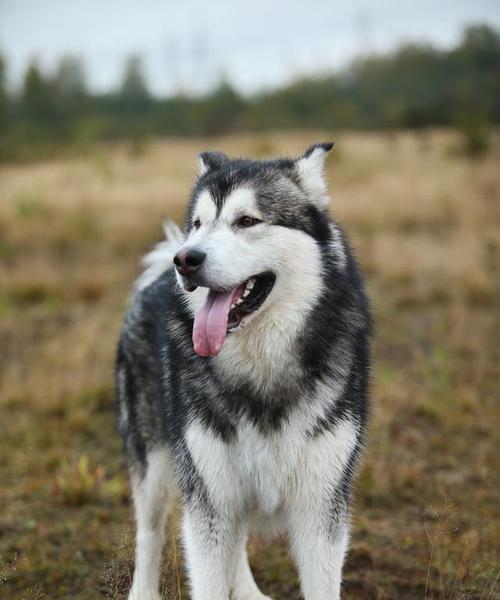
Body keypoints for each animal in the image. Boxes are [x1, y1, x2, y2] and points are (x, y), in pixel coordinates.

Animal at [115, 143, 370, 596]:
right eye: (198, 224)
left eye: (247, 220)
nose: (186, 260)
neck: (261, 370)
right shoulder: (209, 501)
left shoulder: (321, 507)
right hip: (156, 464)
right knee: (149, 534)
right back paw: (143, 591)